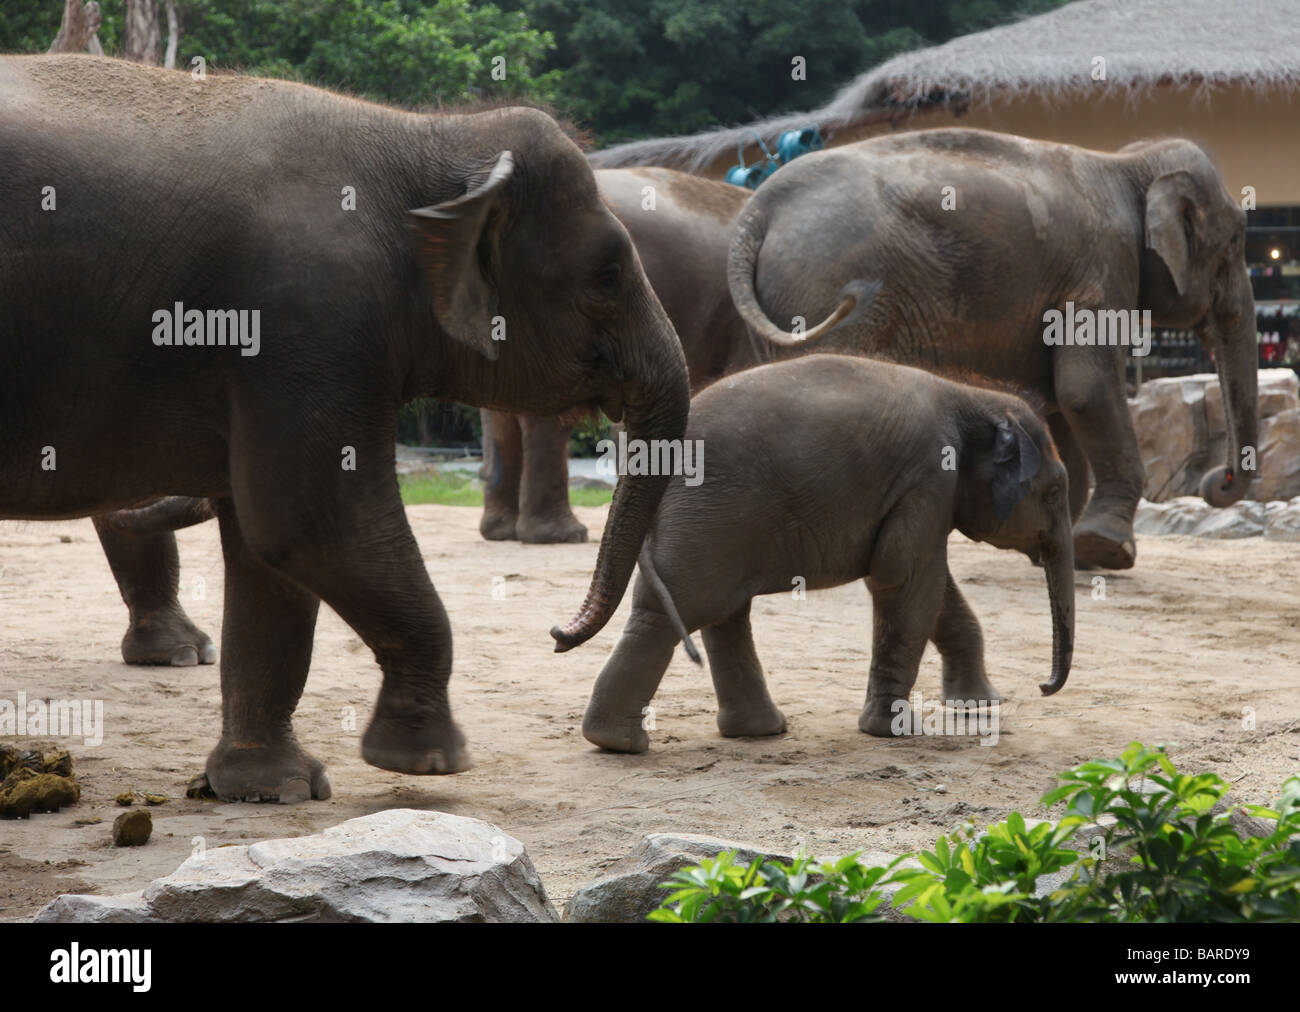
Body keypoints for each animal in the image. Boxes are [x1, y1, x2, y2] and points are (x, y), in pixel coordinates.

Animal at [0, 55, 691, 801]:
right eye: (608, 274)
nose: (558, 633)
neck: (424, 138)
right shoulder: (309, 323)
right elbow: (311, 525)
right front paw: (430, 760)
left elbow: (267, 550)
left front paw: (271, 786)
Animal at [590, 353, 1076, 749]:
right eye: (1054, 493)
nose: (1043, 686)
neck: (970, 395)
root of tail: (649, 458)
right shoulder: (927, 478)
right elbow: (907, 578)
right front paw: (892, 731)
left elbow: (932, 587)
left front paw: (979, 707)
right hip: (709, 513)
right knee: (683, 606)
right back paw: (620, 743)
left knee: (714, 611)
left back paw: (749, 732)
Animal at [728, 126, 1253, 567]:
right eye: (1235, 241)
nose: (1219, 479)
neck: (1126, 163)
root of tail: (759, 209)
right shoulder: (1102, 269)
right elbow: (1086, 390)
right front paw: (1107, 551)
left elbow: (1061, 402)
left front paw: (1062, 549)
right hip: (826, 287)